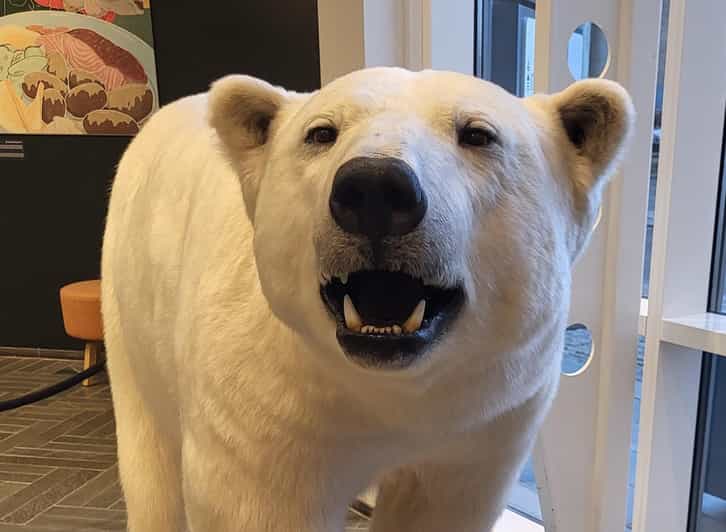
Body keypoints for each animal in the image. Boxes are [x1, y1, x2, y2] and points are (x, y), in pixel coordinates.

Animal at [101, 67, 633, 532]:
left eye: (478, 134)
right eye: (321, 132)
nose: (375, 188)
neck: (381, 390)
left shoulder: (480, 423)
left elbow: (436, 506)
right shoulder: (264, 410)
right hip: (127, 309)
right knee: (152, 475)